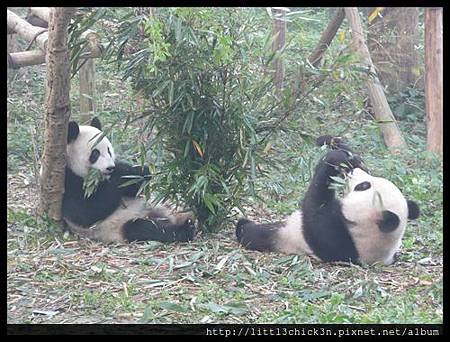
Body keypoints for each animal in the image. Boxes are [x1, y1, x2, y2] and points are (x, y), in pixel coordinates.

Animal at [61, 117, 195, 243]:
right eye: (95, 154)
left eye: (109, 150)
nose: (110, 168)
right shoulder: (68, 181)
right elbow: (86, 213)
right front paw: (122, 172)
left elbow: (134, 188)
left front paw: (141, 172)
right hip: (119, 226)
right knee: (145, 228)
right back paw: (186, 229)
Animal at [237, 135, 420, 266]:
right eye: (367, 181)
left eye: (363, 186)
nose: (353, 172)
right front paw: (341, 150)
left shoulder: (335, 238)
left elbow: (314, 208)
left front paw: (332, 159)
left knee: (255, 235)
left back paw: (243, 226)